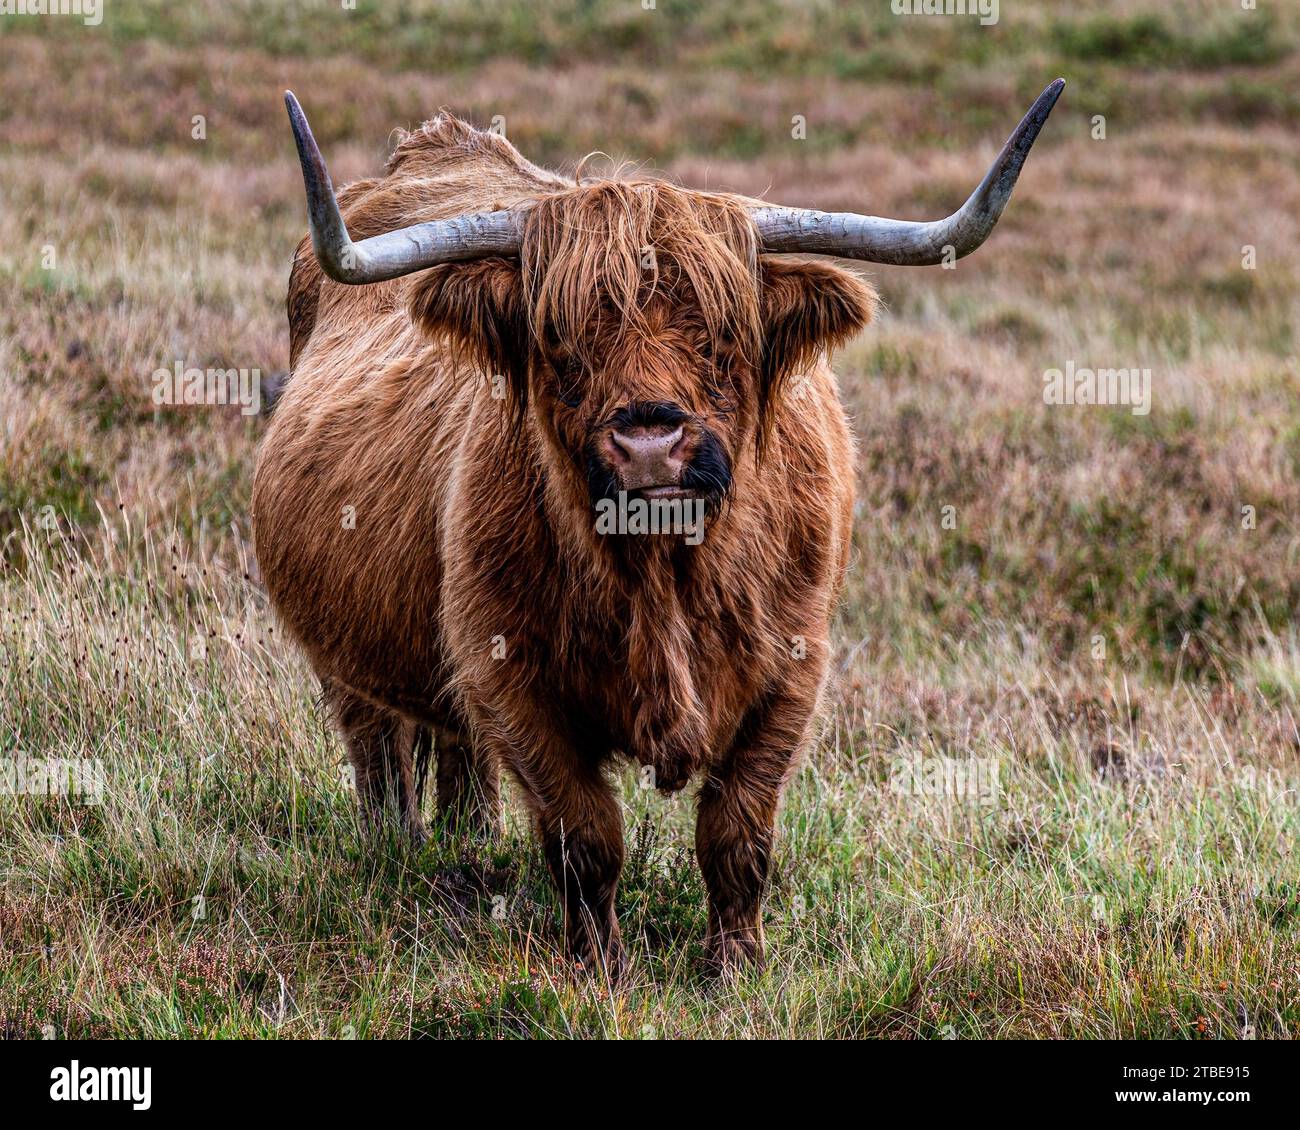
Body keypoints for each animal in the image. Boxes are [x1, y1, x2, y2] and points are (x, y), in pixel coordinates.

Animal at [256, 83, 1066, 972]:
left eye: (724, 334)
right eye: (560, 337)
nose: (649, 440)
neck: (662, 577)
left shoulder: (793, 672)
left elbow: (736, 834)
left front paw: (735, 965)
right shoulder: (511, 676)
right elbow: (585, 836)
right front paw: (599, 968)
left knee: (460, 759)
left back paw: (467, 848)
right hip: (347, 655)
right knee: (380, 751)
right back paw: (396, 849)